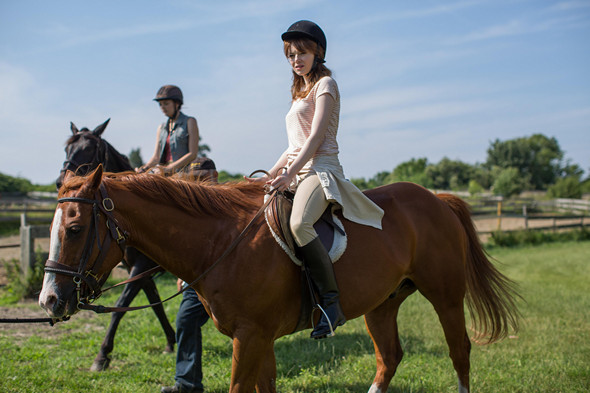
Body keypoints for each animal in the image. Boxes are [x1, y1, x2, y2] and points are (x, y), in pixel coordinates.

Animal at [39, 166, 520, 392]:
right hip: (382, 305)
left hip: (446, 296)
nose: (49, 300)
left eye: (75, 228)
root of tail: (436, 199)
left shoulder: (250, 337)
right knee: (389, 358)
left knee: (459, 352)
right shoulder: (260, 338)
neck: (221, 242)